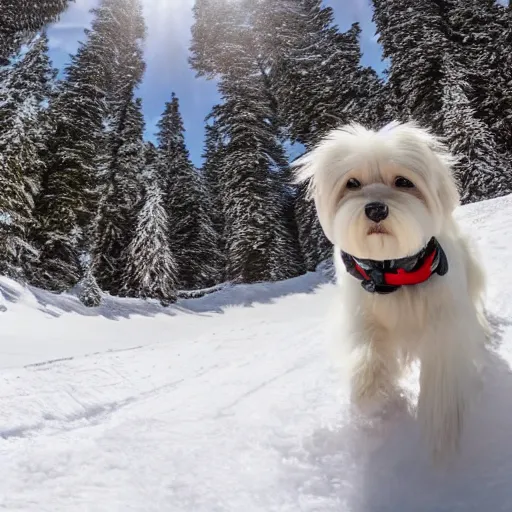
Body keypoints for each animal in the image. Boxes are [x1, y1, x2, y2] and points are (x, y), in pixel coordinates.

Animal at [294, 122, 490, 462]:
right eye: (352, 183)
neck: (394, 269)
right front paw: (375, 397)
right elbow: (368, 357)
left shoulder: (445, 322)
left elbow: (443, 376)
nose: (375, 209)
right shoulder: (364, 313)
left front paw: (442, 433)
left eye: (403, 181)